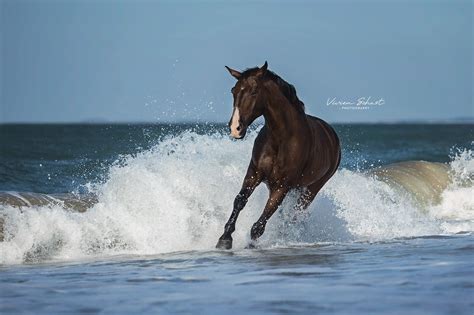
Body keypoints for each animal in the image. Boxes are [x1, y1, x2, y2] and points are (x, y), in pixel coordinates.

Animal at [215, 61, 340, 249]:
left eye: (254, 91)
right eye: (233, 91)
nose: (235, 128)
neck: (280, 139)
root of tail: (332, 135)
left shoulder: (282, 186)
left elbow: (261, 223)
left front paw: (251, 245)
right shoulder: (254, 174)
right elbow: (240, 200)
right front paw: (225, 238)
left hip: (311, 190)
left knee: (294, 215)